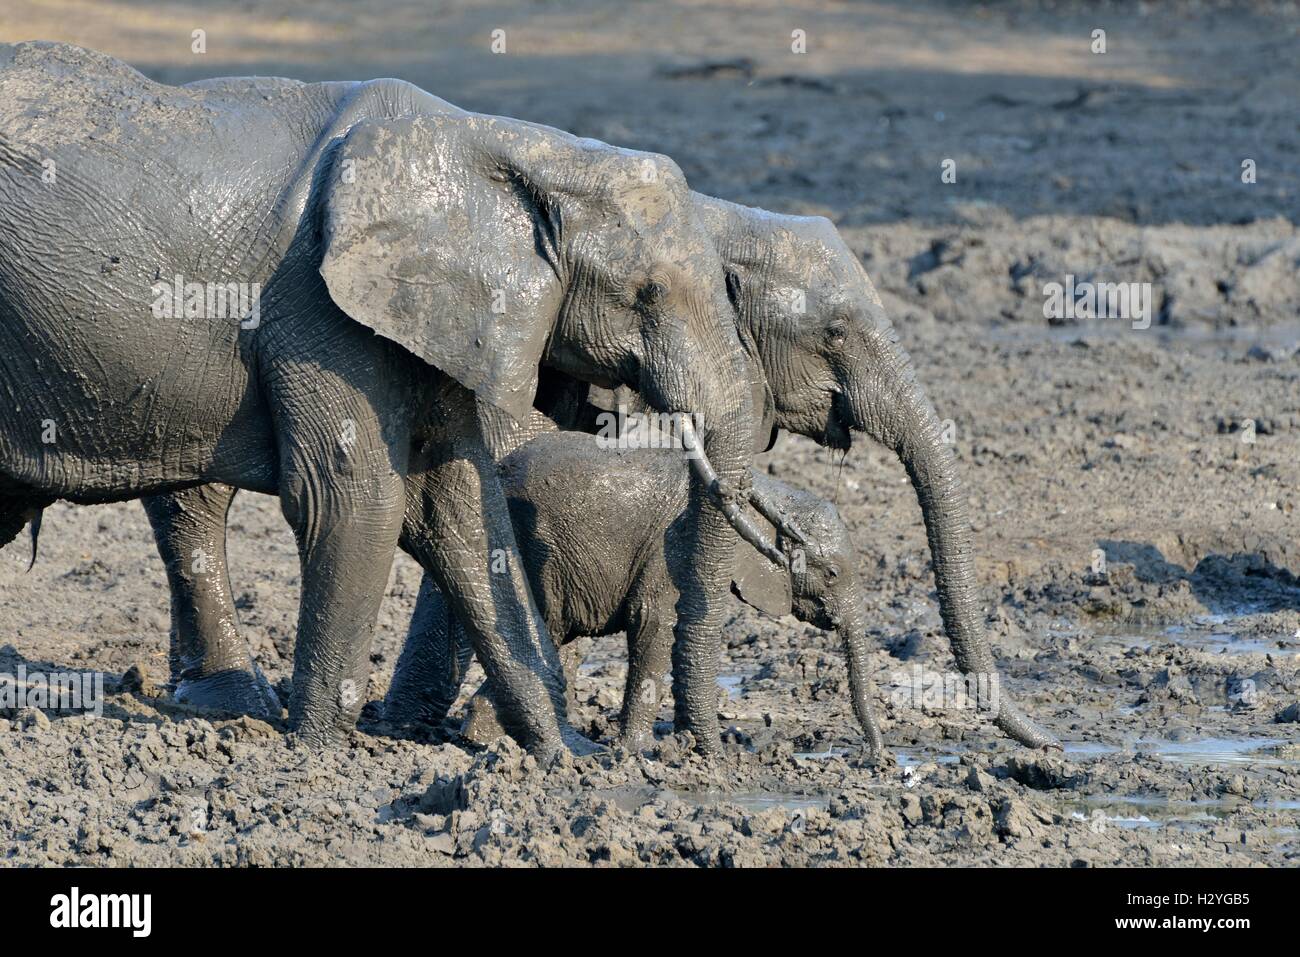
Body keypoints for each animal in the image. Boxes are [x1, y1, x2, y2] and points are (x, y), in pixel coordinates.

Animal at [0, 41, 769, 748]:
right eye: (646, 293)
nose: (701, 748)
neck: (503, 146)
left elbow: (461, 508)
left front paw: (560, 754)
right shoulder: (317, 307)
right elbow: (356, 497)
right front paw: (315, 754)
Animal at [384, 429, 889, 764]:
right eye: (831, 574)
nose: (873, 757)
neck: (765, 489)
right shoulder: (672, 547)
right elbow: (654, 624)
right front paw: (642, 753)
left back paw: (488, 740)